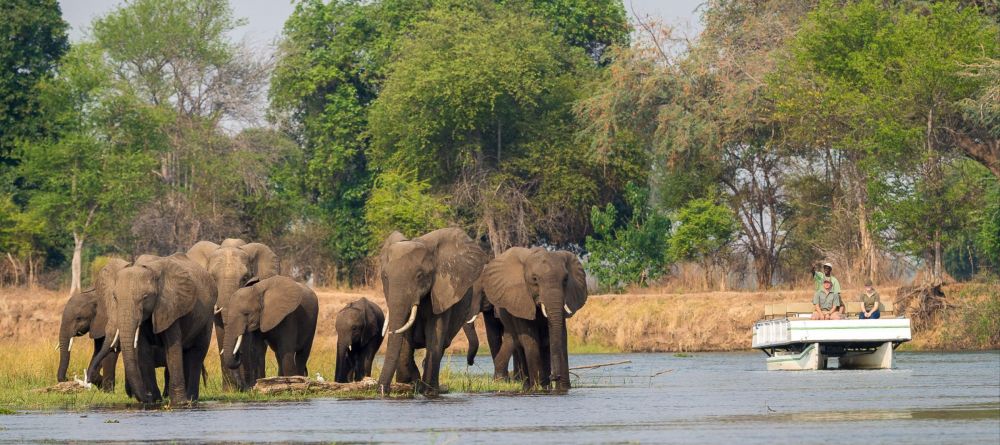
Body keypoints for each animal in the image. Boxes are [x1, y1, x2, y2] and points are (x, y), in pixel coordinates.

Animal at [98, 253, 216, 402]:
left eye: (145, 297)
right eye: (114, 297)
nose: (146, 396)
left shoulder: (171, 305)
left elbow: (172, 348)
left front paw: (179, 403)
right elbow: (143, 351)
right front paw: (154, 400)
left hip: (208, 315)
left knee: (197, 352)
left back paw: (191, 399)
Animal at [186, 239, 280, 388]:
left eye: (245, 278)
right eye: (212, 278)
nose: (237, 355)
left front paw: (247, 388)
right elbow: (220, 330)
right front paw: (230, 389)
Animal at [376, 227, 486, 394]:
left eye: (419, 276)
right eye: (385, 276)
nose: (381, 390)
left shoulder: (442, 293)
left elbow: (435, 335)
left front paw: (426, 391)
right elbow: (405, 337)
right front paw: (409, 384)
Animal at [482, 248, 584, 390]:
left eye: (565, 279)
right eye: (535, 279)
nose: (554, 376)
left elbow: (559, 337)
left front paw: (561, 388)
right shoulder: (521, 300)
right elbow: (530, 339)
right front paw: (537, 388)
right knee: (518, 343)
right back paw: (529, 386)